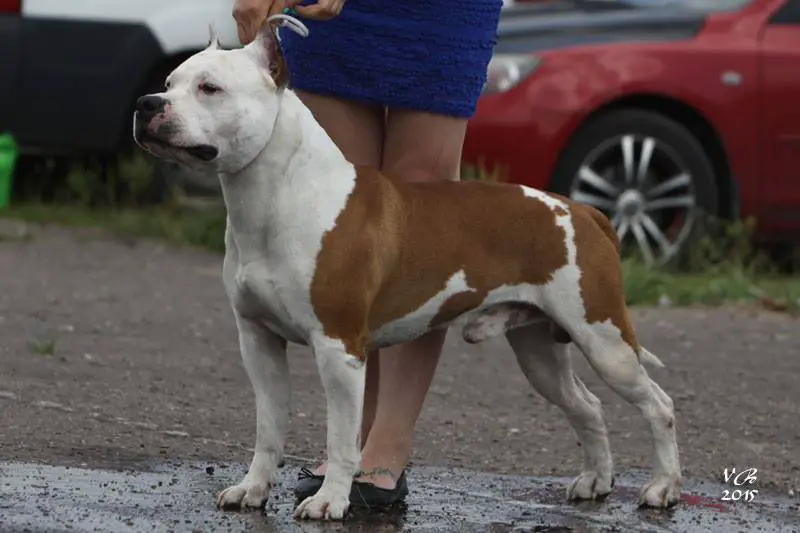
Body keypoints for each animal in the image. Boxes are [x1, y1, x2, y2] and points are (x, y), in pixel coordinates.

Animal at [134, 19, 684, 520]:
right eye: (169, 82)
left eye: (210, 88)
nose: (146, 104)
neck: (275, 196)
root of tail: (585, 211)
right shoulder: (258, 340)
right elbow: (268, 429)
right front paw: (252, 490)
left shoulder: (339, 349)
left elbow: (341, 439)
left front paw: (330, 501)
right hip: (540, 351)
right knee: (587, 406)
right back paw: (595, 481)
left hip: (604, 339)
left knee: (658, 405)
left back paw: (662, 489)